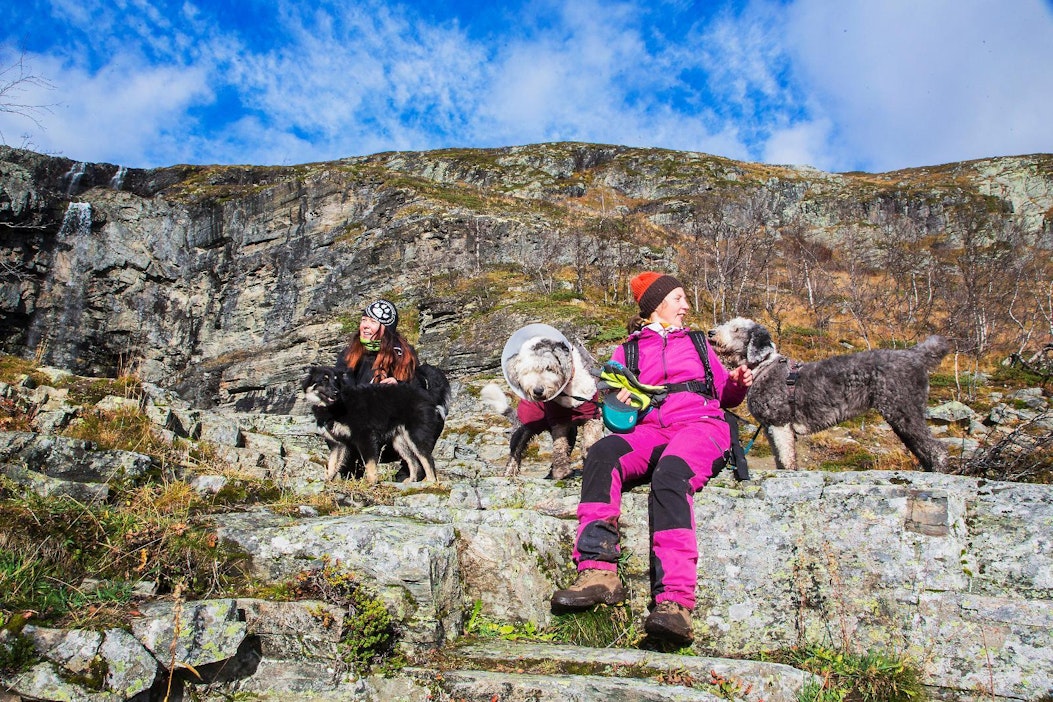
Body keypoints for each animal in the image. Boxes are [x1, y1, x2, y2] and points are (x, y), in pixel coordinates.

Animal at [305, 362, 452, 484]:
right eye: (324, 380)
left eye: (336, 381)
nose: (336, 392)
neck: (336, 406)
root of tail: (426, 394)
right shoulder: (338, 443)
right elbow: (332, 463)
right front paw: (328, 480)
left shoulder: (364, 436)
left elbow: (369, 462)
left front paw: (371, 482)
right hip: (399, 440)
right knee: (413, 461)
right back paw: (411, 480)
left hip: (416, 436)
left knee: (427, 459)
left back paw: (431, 482)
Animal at [711, 317, 951, 471]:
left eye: (737, 329)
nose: (711, 333)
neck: (762, 367)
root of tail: (916, 355)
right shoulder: (772, 429)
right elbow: (780, 459)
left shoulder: (780, 424)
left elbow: (787, 460)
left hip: (904, 409)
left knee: (937, 449)